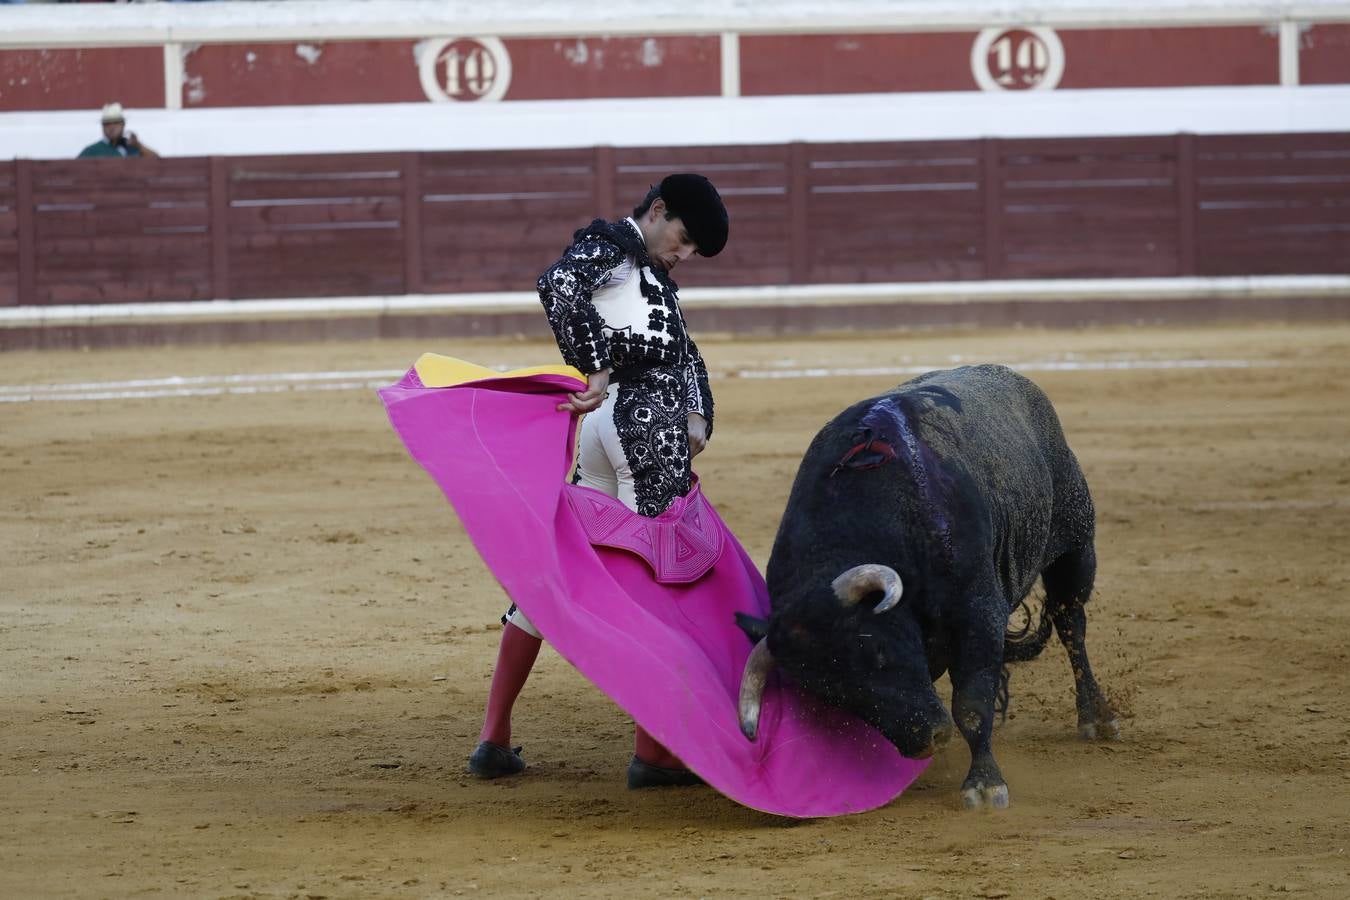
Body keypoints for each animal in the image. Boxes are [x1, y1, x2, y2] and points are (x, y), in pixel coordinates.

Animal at [739, 364, 1117, 809]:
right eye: (831, 695)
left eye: (879, 653)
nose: (926, 740)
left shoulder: (978, 614)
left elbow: (971, 704)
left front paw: (984, 784)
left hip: (1075, 545)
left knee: (1071, 624)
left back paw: (1096, 717)